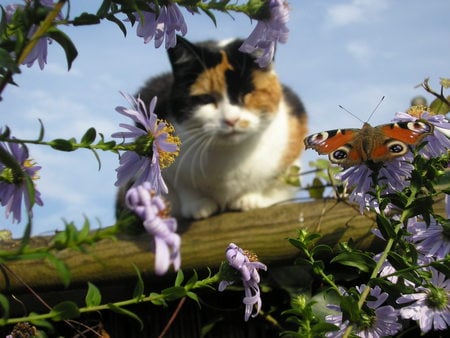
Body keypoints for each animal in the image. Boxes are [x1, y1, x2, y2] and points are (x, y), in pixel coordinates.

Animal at [132, 37, 308, 220]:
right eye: (206, 99)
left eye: (246, 93)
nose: (231, 120)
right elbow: (183, 187)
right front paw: (199, 205)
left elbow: (267, 182)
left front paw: (249, 199)